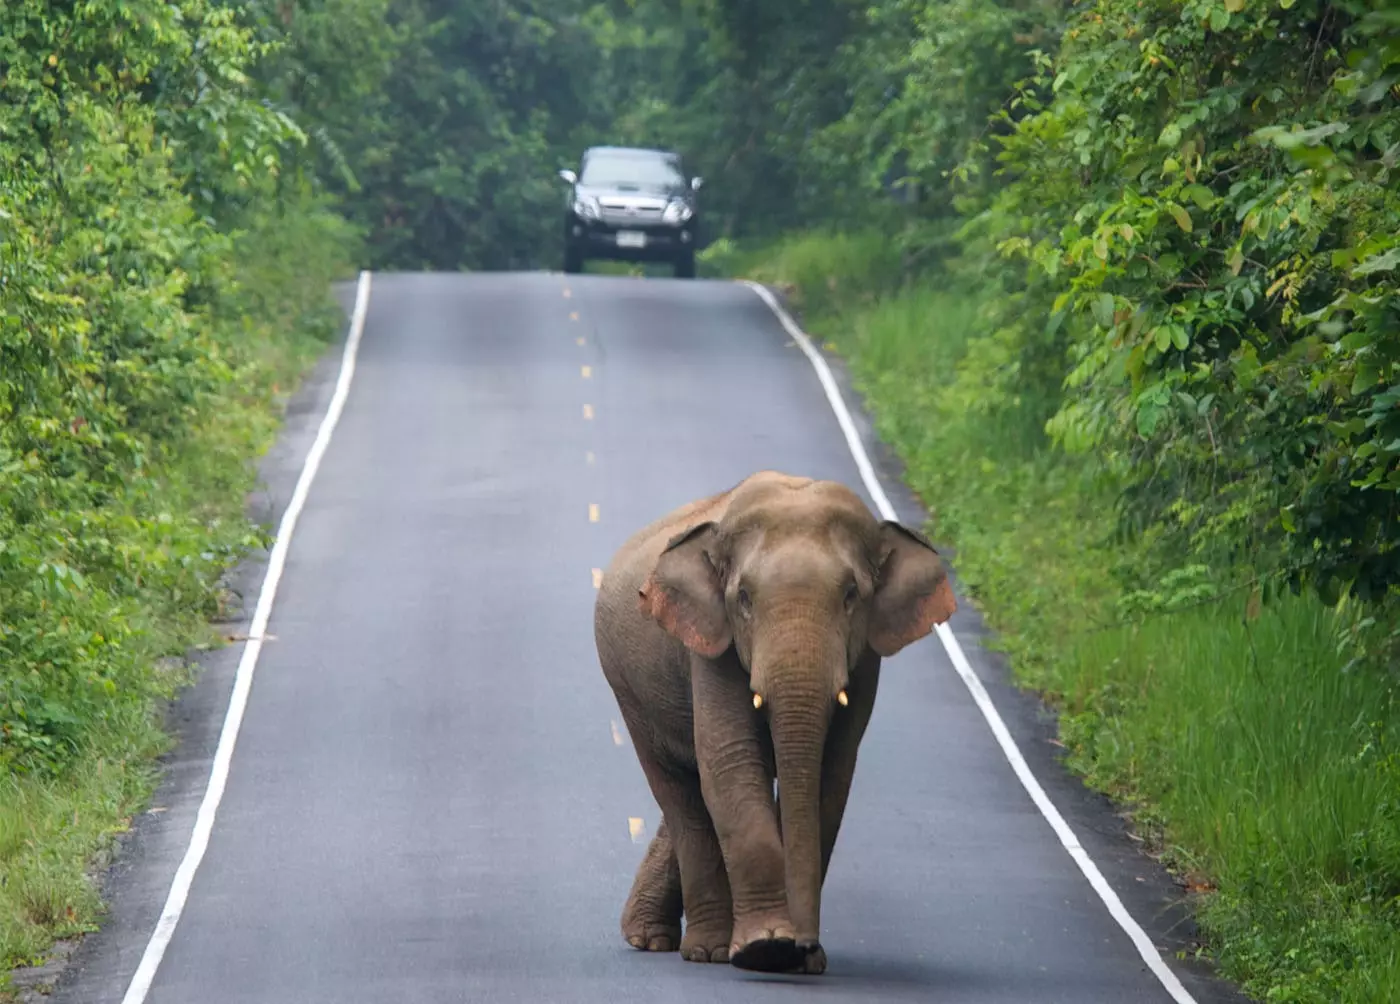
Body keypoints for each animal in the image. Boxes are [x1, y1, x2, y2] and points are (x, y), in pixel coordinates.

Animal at [596, 470, 957, 968]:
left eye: (851, 596)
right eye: (744, 599)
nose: (804, 945)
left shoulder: (866, 658)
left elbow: (829, 776)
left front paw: (800, 959)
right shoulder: (711, 645)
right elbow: (730, 762)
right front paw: (766, 947)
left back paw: (655, 937)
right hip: (628, 690)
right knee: (682, 794)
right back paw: (699, 949)